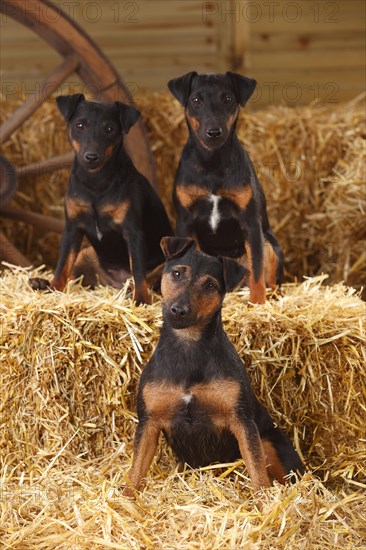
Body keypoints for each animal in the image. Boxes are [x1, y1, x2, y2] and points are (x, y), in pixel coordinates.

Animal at [30, 94, 173, 306]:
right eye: (80, 125)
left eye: (109, 129)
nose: (91, 156)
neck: (95, 182)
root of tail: (114, 283)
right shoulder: (72, 228)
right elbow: (63, 264)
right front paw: (54, 289)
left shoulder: (133, 232)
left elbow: (138, 270)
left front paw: (140, 299)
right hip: (86, 254)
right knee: (75, 275)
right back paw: (40, 282)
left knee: (149, 279)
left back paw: (132, 290)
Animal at [124, 237, 304, 496]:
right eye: (177, 273)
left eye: (210, 286)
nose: (178, 310)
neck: (189, 345)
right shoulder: (149, 422)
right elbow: (135, 471)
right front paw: (126, 498)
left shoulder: (242, 423)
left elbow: (257, 472)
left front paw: (262, 501)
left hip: (271, 444)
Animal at [168, 70, 284, 304]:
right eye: (196, 100)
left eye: (228, 99)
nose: (214, 132)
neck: (212, 162)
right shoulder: (184, 219)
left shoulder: (250, 222)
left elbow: (256, 270)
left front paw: (257, 303)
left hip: (270, 244)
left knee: (270, 280)